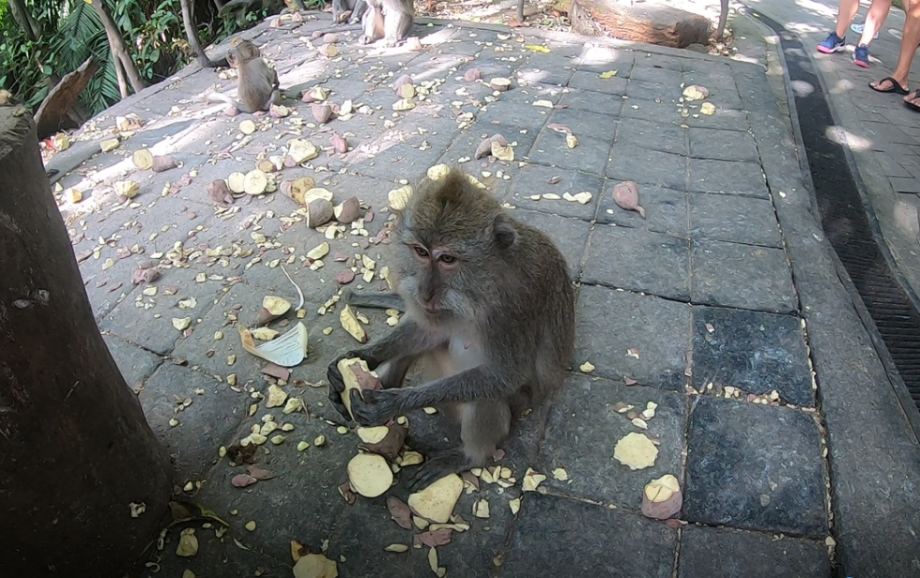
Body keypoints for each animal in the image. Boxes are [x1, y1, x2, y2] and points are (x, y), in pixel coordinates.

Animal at [328, 169, 576, 488]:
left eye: (447, 259)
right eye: (421, 252)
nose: (425, 292)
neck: (484, 282)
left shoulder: (512, 309)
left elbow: (503, 375)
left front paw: (393, 403)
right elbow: (429, 332)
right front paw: (357, 359)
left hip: (514, 405)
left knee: (487, 393)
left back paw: (471, 457)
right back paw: (385, 380)